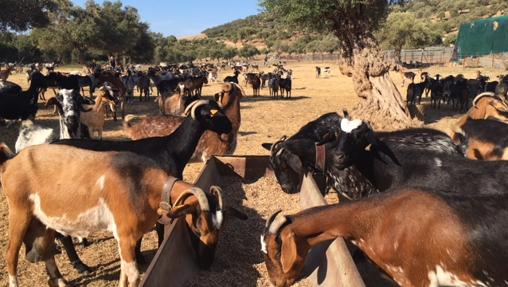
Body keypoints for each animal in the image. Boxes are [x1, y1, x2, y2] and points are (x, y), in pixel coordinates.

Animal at [0, 145, 223, 286]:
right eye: (198, 228)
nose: (207, 263)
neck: (141, 183)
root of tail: (9, 163)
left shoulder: (125, 239)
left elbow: (124, 272)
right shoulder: (126, 235)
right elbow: (133, 275)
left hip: (43, 222)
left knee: (46, 252)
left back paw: (62, 282)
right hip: (19, 212)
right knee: (11, 254)